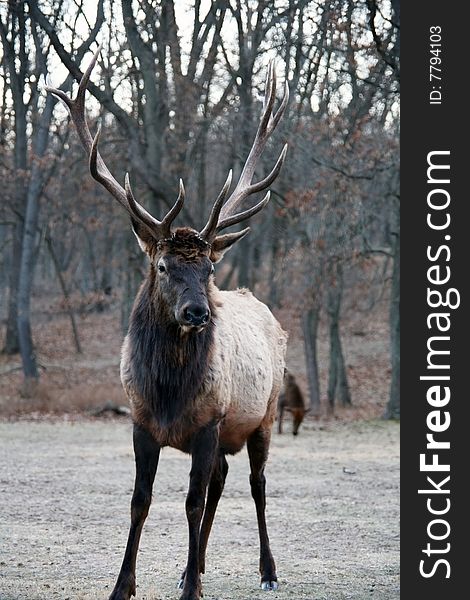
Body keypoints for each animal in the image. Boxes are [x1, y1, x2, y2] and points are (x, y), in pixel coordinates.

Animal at [48, 48, 290, 600]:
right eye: (162, 266)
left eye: (209, 270)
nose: (198, 312)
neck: (168, 393)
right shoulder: (140, 421)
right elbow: (141, 501)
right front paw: (125, 585)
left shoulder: (209, 422)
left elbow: (191, 503)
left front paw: (191, 589)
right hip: (228, 434)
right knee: (221, 479)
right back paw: (190, 566)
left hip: (263, 414)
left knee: (256, 484)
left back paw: (265, 570)